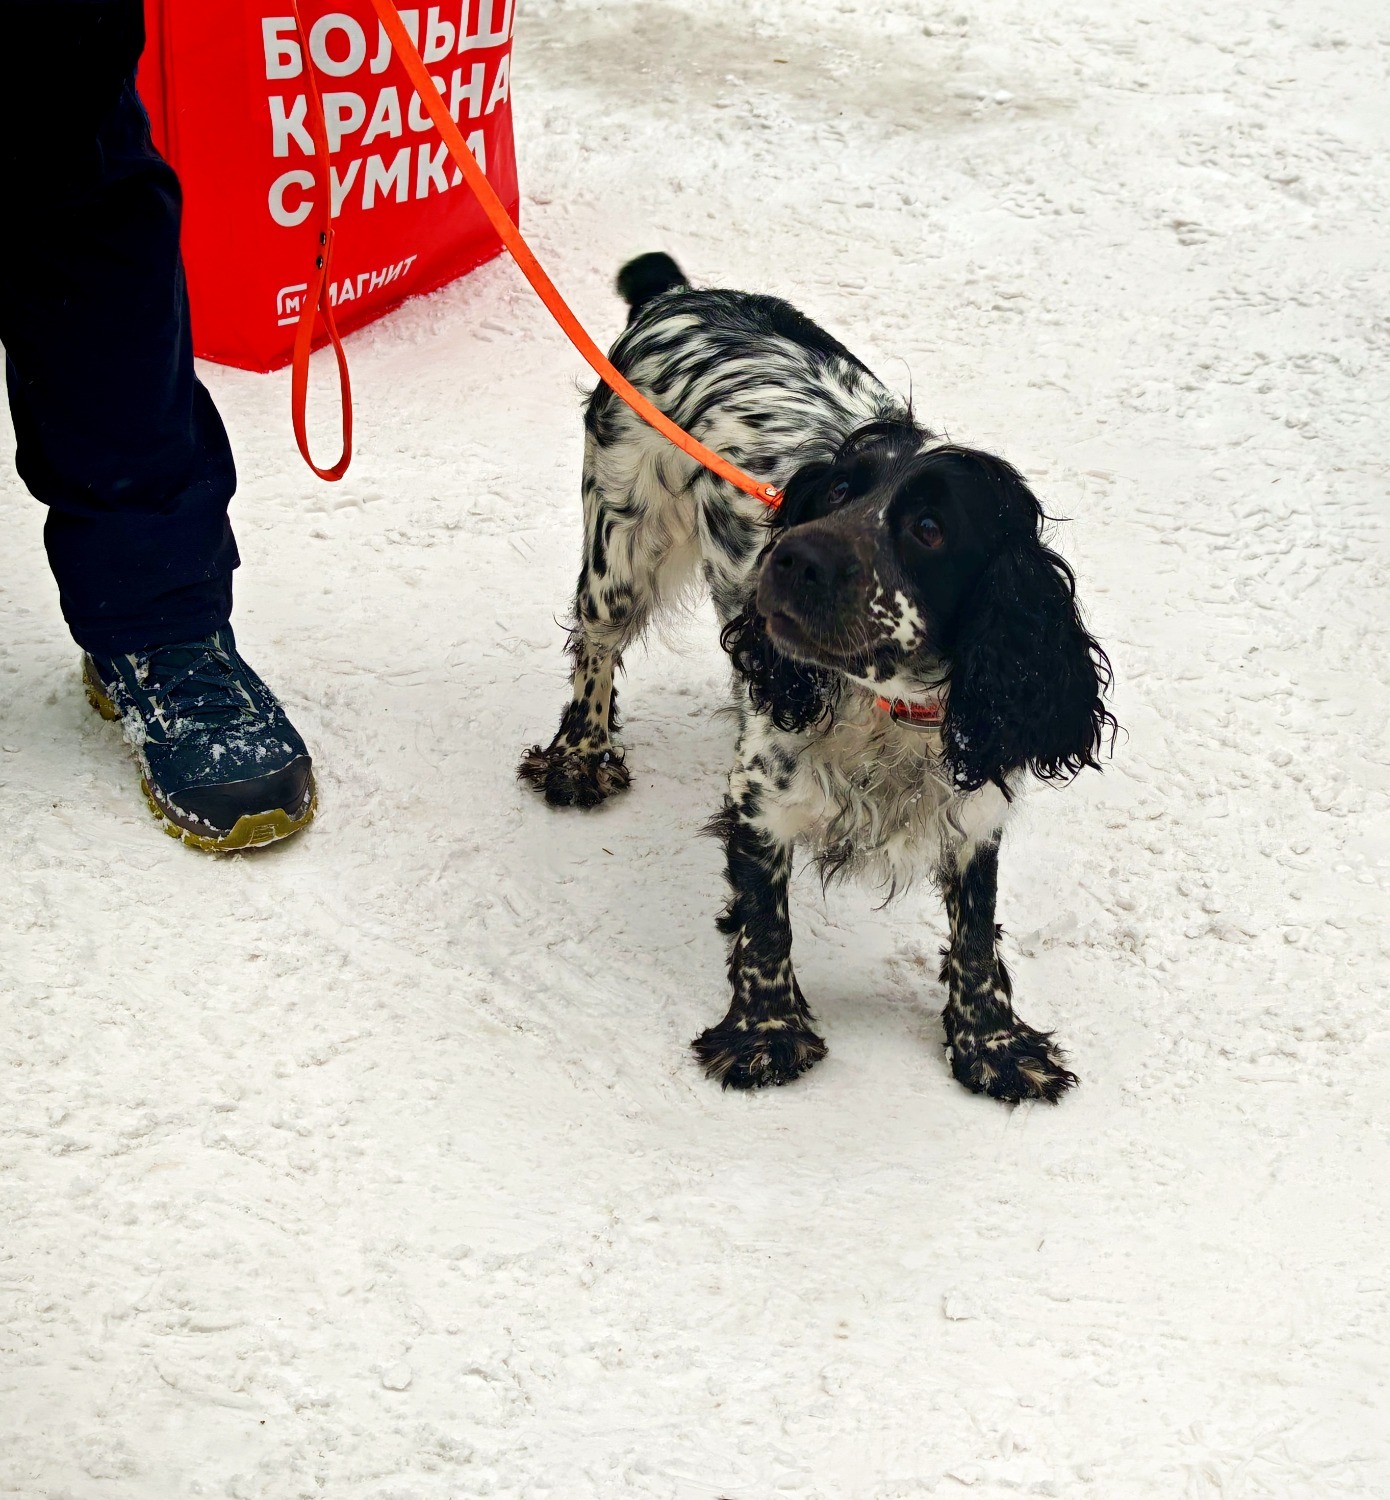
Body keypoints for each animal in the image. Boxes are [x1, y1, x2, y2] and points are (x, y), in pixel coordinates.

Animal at [520, 253, 1114, 1101]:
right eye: (835, 491)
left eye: (929, 529)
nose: (792, 556)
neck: (886, 708)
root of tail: (677, 293)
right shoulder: (760, 796)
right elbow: (766, 924)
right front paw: (765, 1036)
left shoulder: (974, 808)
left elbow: (975, 937)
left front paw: (995, 1046)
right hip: (622, 537)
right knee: (596, 645)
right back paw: (580, 758)